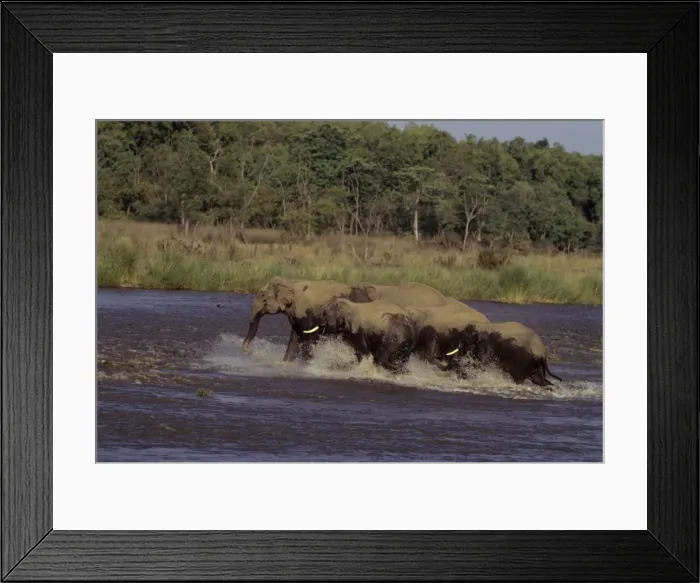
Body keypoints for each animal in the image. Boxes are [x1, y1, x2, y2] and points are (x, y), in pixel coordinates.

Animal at [242, 276, 372, 362]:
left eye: (262, 296)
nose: (248, 349)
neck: (290, 281)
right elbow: (295, 337)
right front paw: (285, 364)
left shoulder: (305, 311)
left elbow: (307, 337)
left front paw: (307, 365)